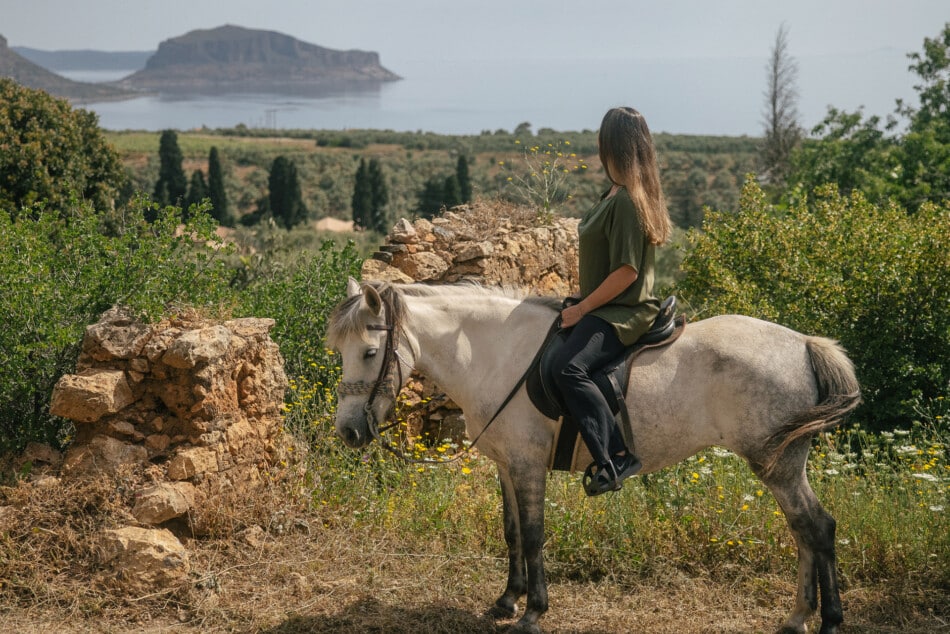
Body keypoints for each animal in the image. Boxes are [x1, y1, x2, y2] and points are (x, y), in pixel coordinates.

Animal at [328, 278, 864, 628]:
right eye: (341, 352)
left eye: (370, 354)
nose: (350, 431)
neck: (496, 355)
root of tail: (803, 343)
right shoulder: (506, 464)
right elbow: (511, 533)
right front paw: (507, 601)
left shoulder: (527, 466)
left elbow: (534, 535)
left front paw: (533, 611)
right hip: (781, 466)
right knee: (804, 532)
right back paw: (798, 617)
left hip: (778, 466)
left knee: (817, 528)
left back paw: (829, 620)